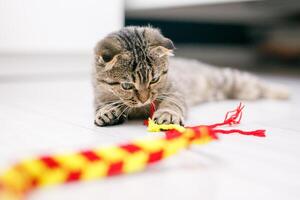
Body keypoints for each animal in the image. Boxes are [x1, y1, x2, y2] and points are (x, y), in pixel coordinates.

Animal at [92, 25, 290, 126]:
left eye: (154, 79)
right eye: (127, 86)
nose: (144, 99)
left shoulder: (175, 92)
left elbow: (172, 103)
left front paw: (167, 114)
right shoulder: (98, 95)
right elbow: (102, 104)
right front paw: (106, 111)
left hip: (232, 79)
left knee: (260, 84)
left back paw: (283, 92)